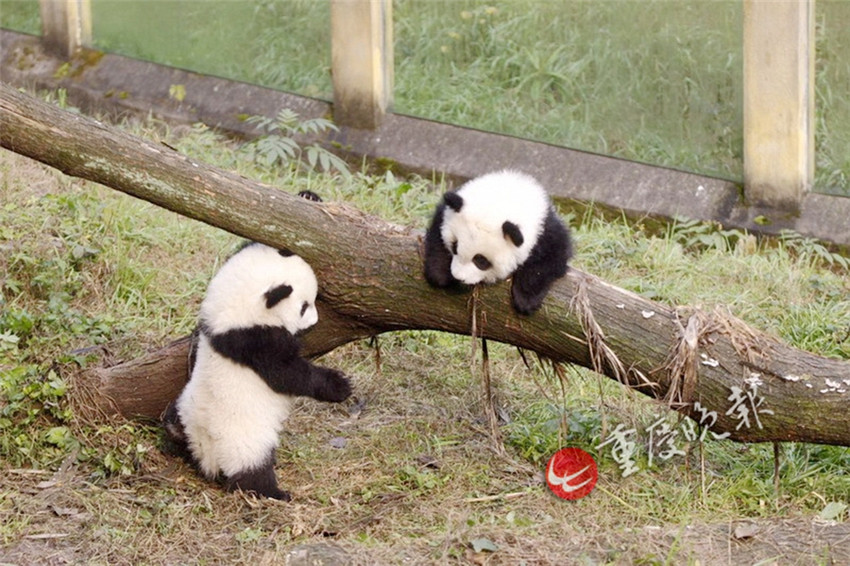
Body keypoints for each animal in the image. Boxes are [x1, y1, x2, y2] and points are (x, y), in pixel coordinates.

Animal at [163, 242, 352, 500]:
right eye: (304, 307)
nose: (315, 321)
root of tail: (206, 450)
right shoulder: (254, 342)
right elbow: (288, 374)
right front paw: (340, 386)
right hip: (245, 441)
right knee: (252, 472)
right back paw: (275, 492)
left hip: (184, 409)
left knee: (172, 423)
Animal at [423, 170, 572, 315]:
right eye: (455, 246)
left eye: (481, 260)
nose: (459, 277)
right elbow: (437, 231)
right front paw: (439, 273)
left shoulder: (545, 231)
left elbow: (551, 259)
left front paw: (526, 300)